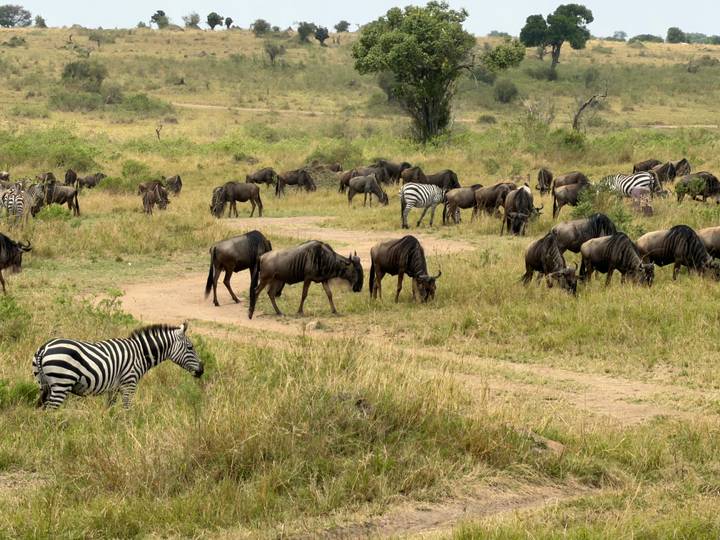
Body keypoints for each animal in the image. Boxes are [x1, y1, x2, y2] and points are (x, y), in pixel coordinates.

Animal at [32, 323, 204, 410]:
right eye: (190, 347)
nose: (202, 371)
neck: (140, 353)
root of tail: (44, 348)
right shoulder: (129, 384)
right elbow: (127, 409)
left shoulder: (113, 388)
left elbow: (110, 409)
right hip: (61, 383)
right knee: (50, 411)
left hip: (44, 385)